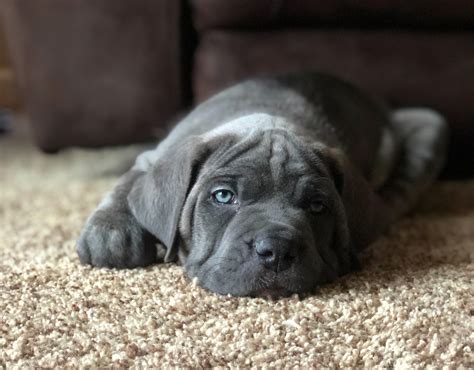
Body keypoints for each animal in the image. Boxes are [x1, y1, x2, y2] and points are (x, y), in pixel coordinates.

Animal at [77, 72, 448, 298]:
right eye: (223, 196)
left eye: (317, 206)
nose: (277, 251)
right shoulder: (154, 157)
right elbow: (127, 185)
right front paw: (110, 234)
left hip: (430, 124)